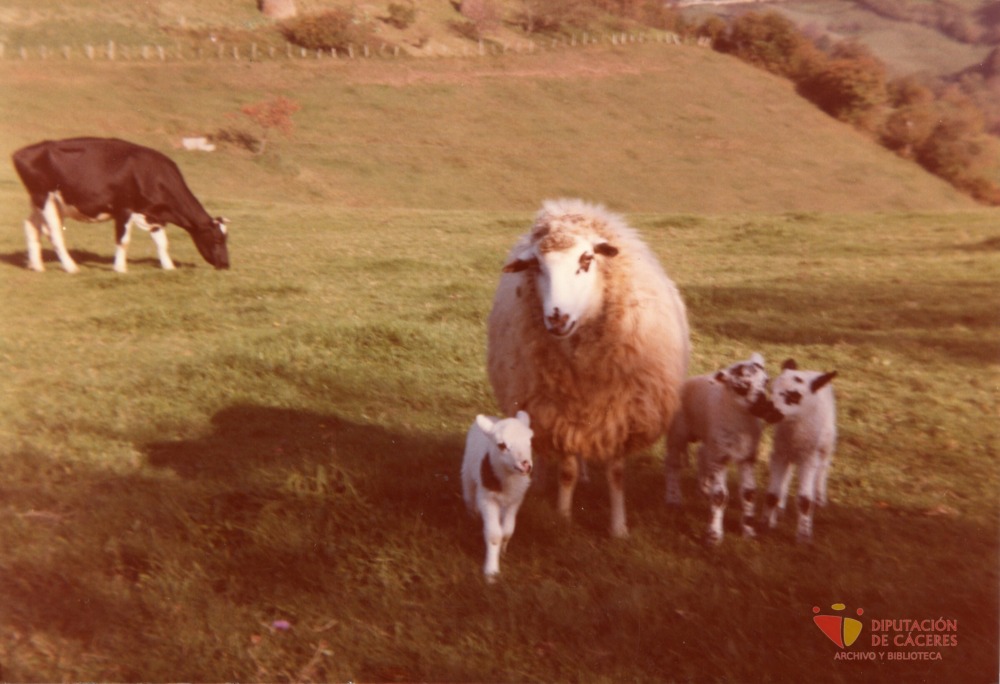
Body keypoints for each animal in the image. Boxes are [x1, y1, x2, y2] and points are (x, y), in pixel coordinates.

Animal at [461, 411, 534, 582]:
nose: (526, 465)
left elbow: (507, 530)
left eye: (530, 441)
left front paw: (503, 551)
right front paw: (491, 572)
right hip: (467, 472)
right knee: (469, 496)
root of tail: (491, 417)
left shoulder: (516, 499)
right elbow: (494, 535)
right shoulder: (488, 499)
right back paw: (472, 516)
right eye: (502, 445)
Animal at [487, 198, 690, 538]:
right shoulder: (556, 412)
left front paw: (619, 528)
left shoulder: (622, 414)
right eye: (536, 266)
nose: (557, 318)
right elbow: (566, 470)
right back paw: (541, 479)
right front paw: (563, 518)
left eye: (586, 259)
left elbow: (616, 473)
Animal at [664, 353, 783, 545]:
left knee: (701, 455)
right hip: (677, 433)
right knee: (672, 464)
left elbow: (749, 493)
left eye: (766, 381)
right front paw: (714, 536)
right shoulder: (720, 457)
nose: (766, 407)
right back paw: (673, 499)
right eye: (741, 385)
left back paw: (704, 488)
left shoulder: (747, 457)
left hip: (710, 440)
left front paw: (748, 531)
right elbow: (720, 496)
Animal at [762, 358, 838, 544]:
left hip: (826, 443)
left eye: (794, 396)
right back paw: (780, 506)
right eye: (771, 389)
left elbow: (804, 500)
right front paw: (765, 524)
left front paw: (803, 536)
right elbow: (772, 494)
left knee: (823, 468)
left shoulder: (808, 458)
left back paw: (820, 498)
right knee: (787, 475)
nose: (767, 411)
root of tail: (813, 372)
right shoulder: (779, 454)